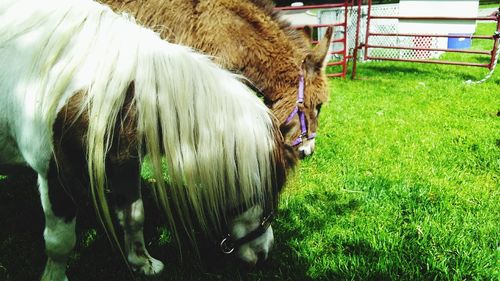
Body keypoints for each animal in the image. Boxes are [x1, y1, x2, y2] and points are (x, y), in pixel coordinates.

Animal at [0, 0, 294, 278]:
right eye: (269, 191)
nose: (264, 253)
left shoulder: (124, 163)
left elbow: (134, 215)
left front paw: (143, 263)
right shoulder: (57, 176)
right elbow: (60, 241)